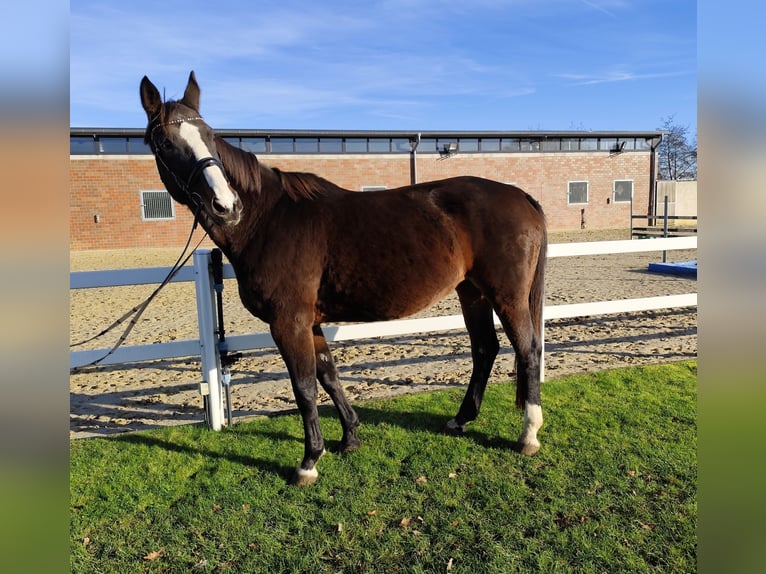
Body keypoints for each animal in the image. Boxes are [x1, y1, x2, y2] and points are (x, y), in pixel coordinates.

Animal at [141, 71, 548, 486]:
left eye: (208, 136)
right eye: (166, 142)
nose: (226, 206)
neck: (267, 220)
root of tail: (519, 196)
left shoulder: (288, 322)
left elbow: (304, 387)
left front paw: (308, 462)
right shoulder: (310, 321)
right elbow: (328, 374)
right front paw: (349, 437)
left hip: (507, 296)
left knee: (528, 349)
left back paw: (528, 434)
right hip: (473, 293)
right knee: (484, 349)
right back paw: (461, 419)